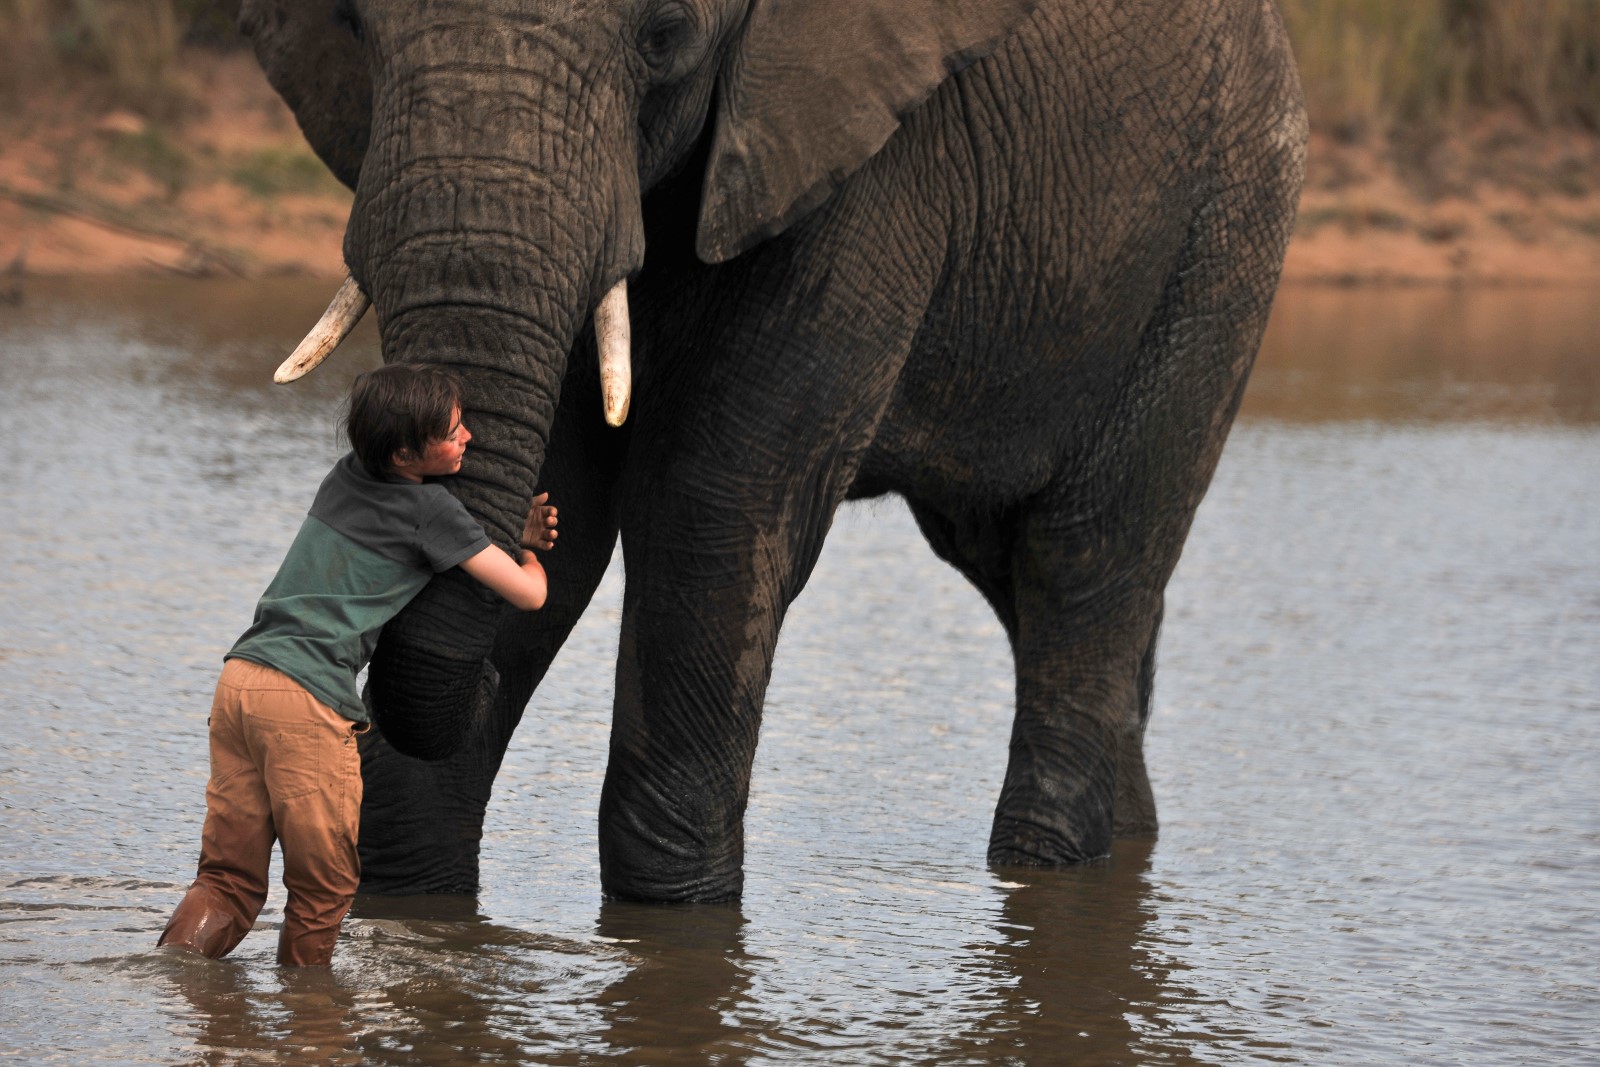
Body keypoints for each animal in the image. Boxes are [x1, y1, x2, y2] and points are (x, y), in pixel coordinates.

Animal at [228, 0, 1299, 908]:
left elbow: (712, 508)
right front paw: (413, 904)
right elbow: (572, 512)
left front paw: (676, 915)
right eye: (356, 27)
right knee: (1018, 580)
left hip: (1222, 243)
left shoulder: (871, 154)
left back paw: (1046, 861)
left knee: (1083, 564)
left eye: (664, 36)